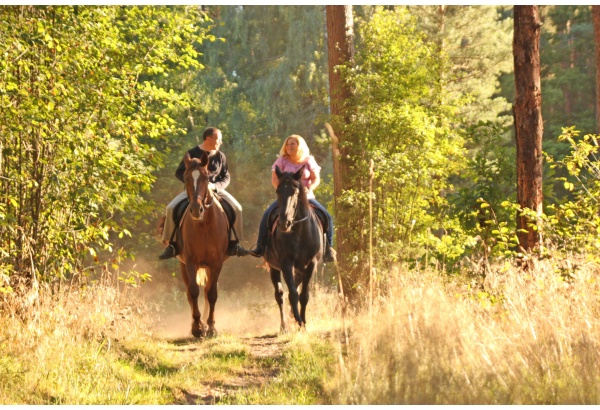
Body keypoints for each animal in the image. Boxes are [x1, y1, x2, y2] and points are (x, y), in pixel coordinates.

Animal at [176, 152, 230, 338]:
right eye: (186, 178)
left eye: (207, 178)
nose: (196, 210)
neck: (204, 225)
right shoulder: (190, 262)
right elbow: (193, 292)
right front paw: (197, 328)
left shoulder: (216, 263)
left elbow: (211, 293)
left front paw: (211, 327)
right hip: (183, 265)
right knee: (189, 292)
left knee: (207, 291)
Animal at [264, 165, 326, 332]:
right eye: (278, 191)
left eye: (295, 191)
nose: (283, 223)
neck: (299, 231)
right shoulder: (286, 264)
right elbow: (292, 294)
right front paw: (298, 320)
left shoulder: (311, 264)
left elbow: (304, 295)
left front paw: (303, 322)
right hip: (274, 268)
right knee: (279, 295)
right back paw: (284, 325)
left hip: (300, 269)